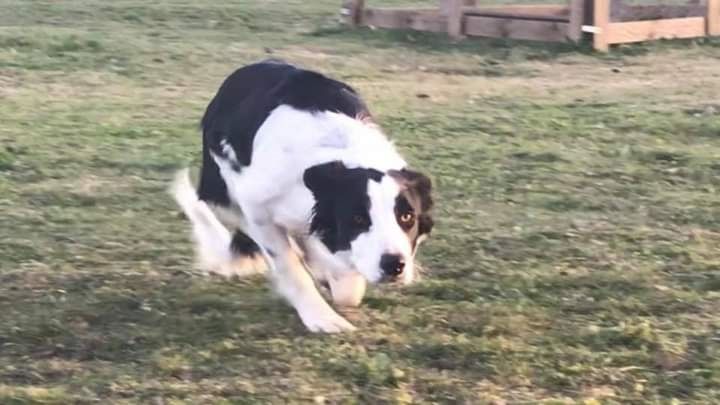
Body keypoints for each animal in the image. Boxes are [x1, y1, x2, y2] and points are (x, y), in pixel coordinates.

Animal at [173, 60, 434, 332]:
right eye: (358, 219)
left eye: (407, 217)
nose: (394, 265)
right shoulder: (256, 207)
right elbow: (290, 266)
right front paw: (321, 317)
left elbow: (346, 287)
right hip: (221, 190)